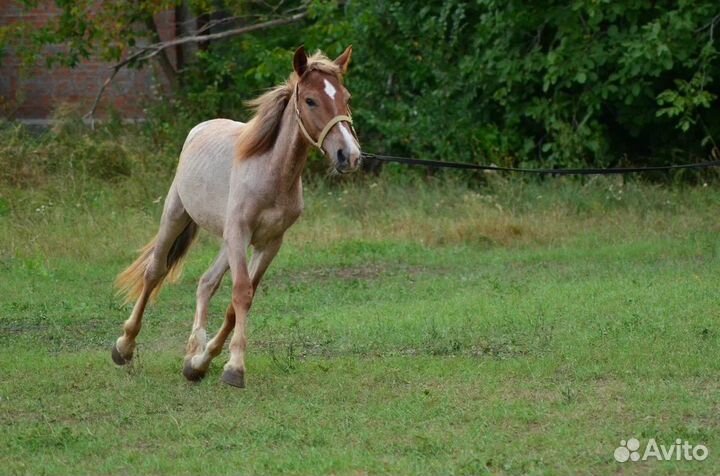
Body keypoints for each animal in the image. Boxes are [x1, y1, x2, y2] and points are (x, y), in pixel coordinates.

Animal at [110, 45, 362, 386]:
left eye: (346, 97)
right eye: (310, 100)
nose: (349, 156)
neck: (270, 173)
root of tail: (200, 127)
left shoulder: (269, 243)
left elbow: (238, 301)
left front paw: (205, 361)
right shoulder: (240, 233)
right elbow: (241, 293)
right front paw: (235, 367)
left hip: (227, 240)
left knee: (206, 282)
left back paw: (194, 354)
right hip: (177, 215)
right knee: (155, 271)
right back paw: (124, 346)